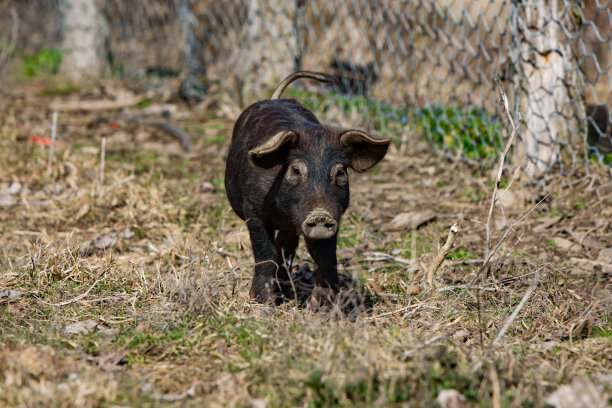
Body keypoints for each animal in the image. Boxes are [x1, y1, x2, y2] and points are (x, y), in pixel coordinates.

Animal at [225, 71, 392, 304]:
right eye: (295, 170)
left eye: (340, 172)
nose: (320, 214)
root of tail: (274, 98)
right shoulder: (253, 210)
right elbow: (266, 255)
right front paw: (261, 302)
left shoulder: (332, 219)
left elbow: (325, 257)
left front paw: (323, 305)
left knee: (286, 250)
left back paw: (287, 294)